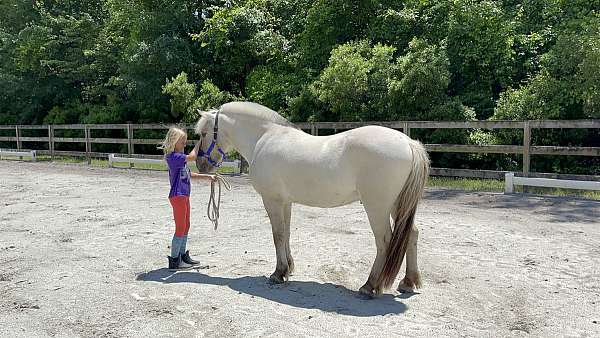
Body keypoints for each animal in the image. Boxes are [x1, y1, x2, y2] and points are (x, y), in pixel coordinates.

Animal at [195, 101, 428, 298]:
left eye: (204, 133)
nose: (200, 165)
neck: (264, 137)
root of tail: (408, 142)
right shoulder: (285, 201)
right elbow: (286, 234)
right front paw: (288, 268)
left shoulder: (272, 200)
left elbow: (277, 235)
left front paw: (278, 273)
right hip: (397, 205)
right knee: (412, 234)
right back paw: (408, 282)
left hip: (377, 207)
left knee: (384, 241)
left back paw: (370, 286)